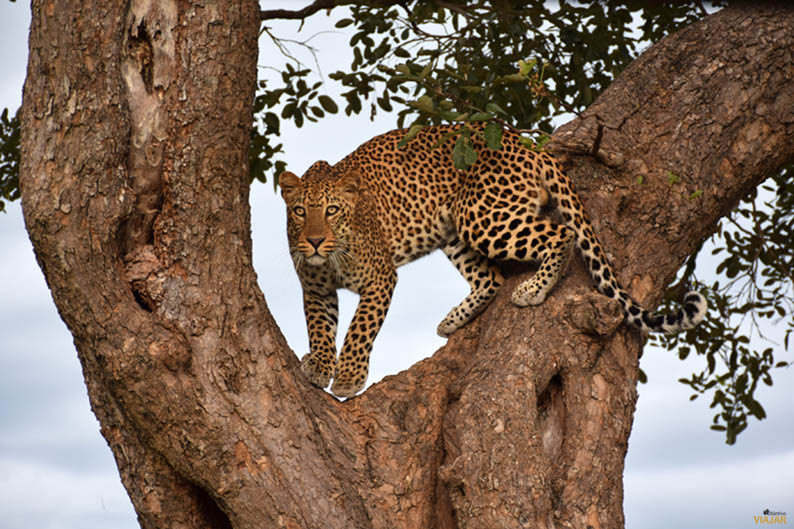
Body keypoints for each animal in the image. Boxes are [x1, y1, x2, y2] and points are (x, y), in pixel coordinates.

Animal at [279, 125, 706, 398]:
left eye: (332, 211)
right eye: (299, 211)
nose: (314, 241)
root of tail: (526, 143)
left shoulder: (380, 277)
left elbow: (359, 329)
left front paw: (348, 377)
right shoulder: (315, 288)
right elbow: (319, 327)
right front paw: (319, 365)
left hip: (483, 217)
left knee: (561, 235)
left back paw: (534, 290)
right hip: (456, 229)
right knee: (490, 278)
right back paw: (453, 319)